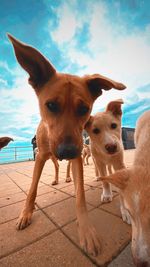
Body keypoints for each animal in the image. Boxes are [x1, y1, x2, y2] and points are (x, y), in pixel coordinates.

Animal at [7, 34, 125, 258]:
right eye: (51, 105)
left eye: (84, 109)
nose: (67, 151)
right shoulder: (41, 156)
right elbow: (32, 188)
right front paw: (25, 214)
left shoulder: (78, 156)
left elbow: (80, 197)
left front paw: (86, 231)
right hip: (52, 157)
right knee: (56, 167)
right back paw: (56, 178)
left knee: (68, 168)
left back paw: (68, 176)